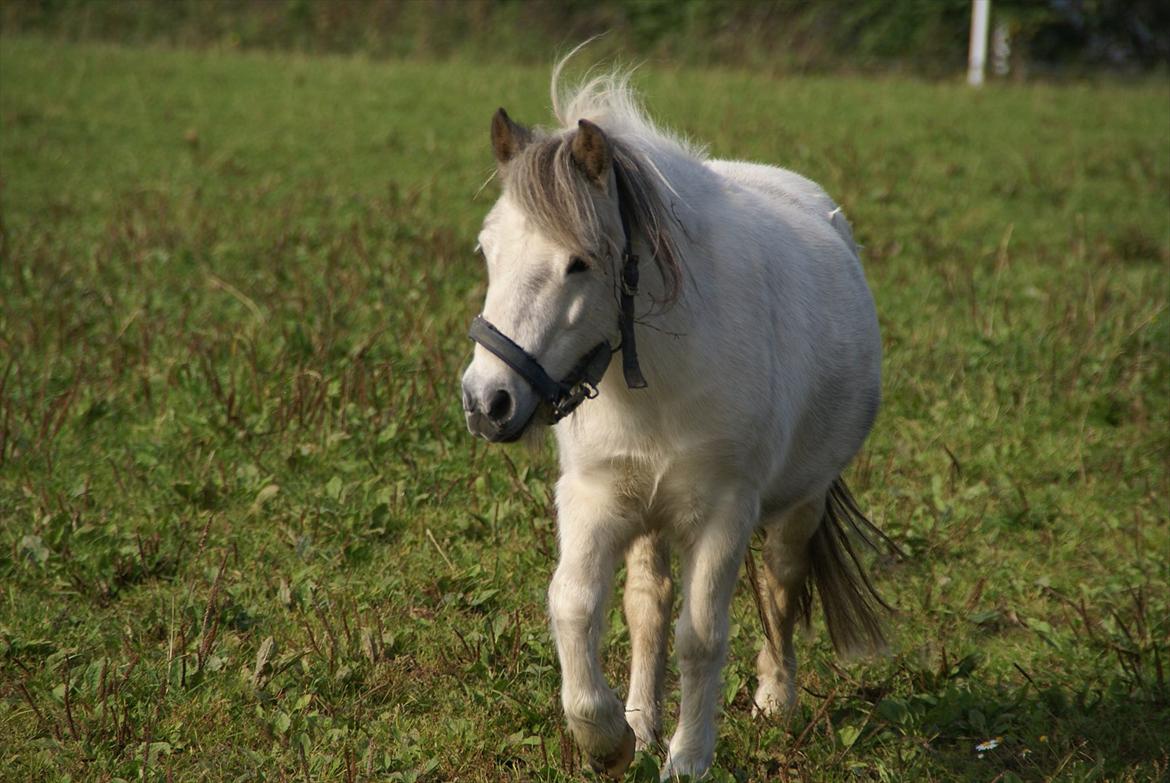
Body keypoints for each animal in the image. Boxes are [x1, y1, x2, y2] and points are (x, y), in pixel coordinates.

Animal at [460, 57, 889, 777]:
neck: (660, 377)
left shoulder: (724, 512)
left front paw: (688, 758)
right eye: (487, 251)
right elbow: (575, 606)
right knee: (647, 605)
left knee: (780, 583)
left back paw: (776, 697)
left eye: (579, 263)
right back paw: (641, 717)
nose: (487, 402)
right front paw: (609, 737)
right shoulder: (597, 498)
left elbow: (703, 636)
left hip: (798, 504)